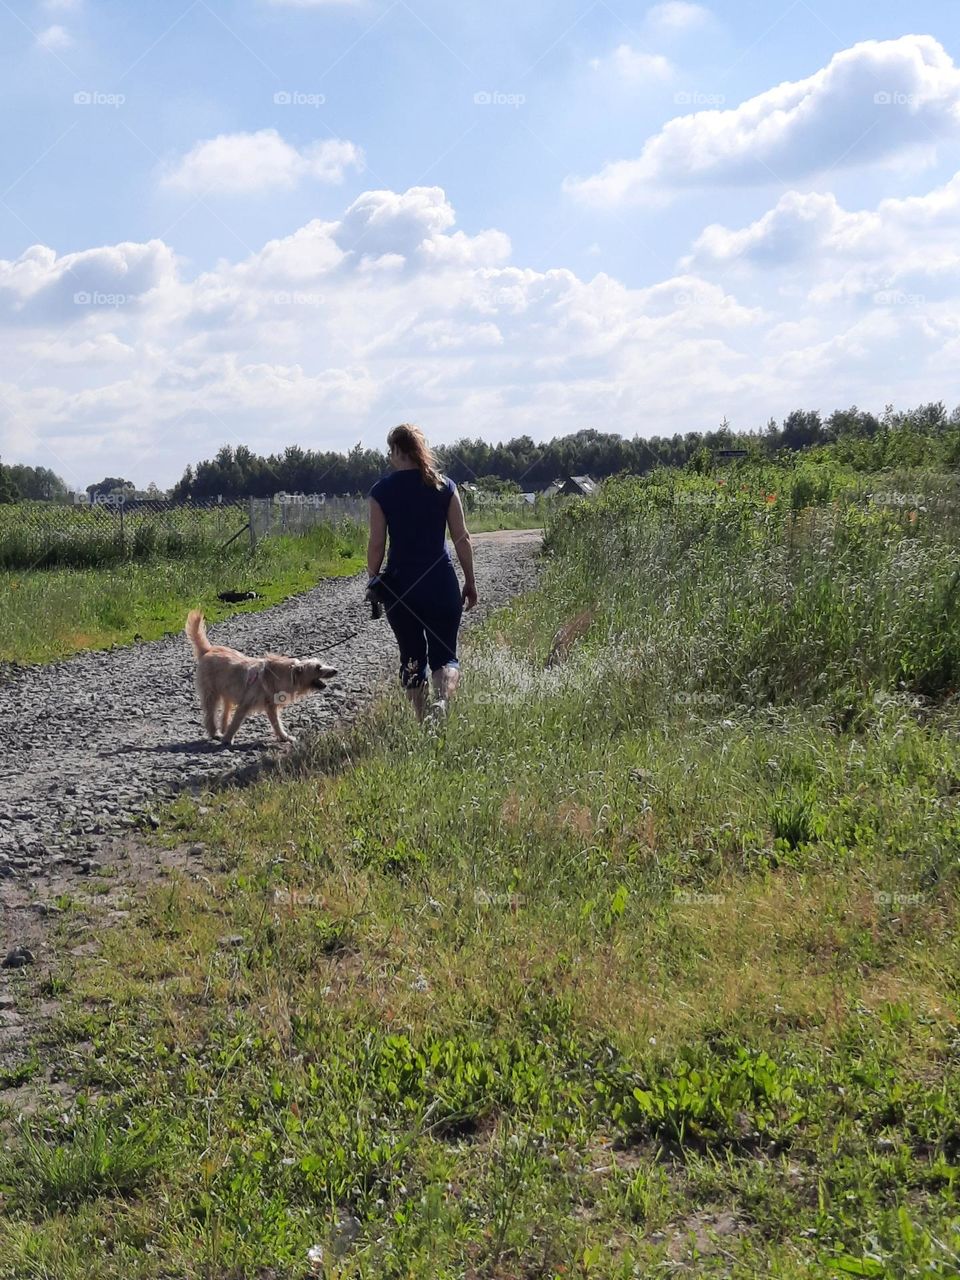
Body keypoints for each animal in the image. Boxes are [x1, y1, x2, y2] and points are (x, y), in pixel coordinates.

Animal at [186, 611, 337, 747]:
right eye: (318, 668)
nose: (335, 670)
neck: (281, 675)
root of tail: (208, 650)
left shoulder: (271, 706)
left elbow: (276, 723)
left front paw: (284, 737)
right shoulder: (246, 702)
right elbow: (237, 721)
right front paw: (228, 739)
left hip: (227, 692)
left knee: (225, 710)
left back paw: (223, 729)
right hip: (211, 692)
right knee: (210, 714)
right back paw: (215, 732)